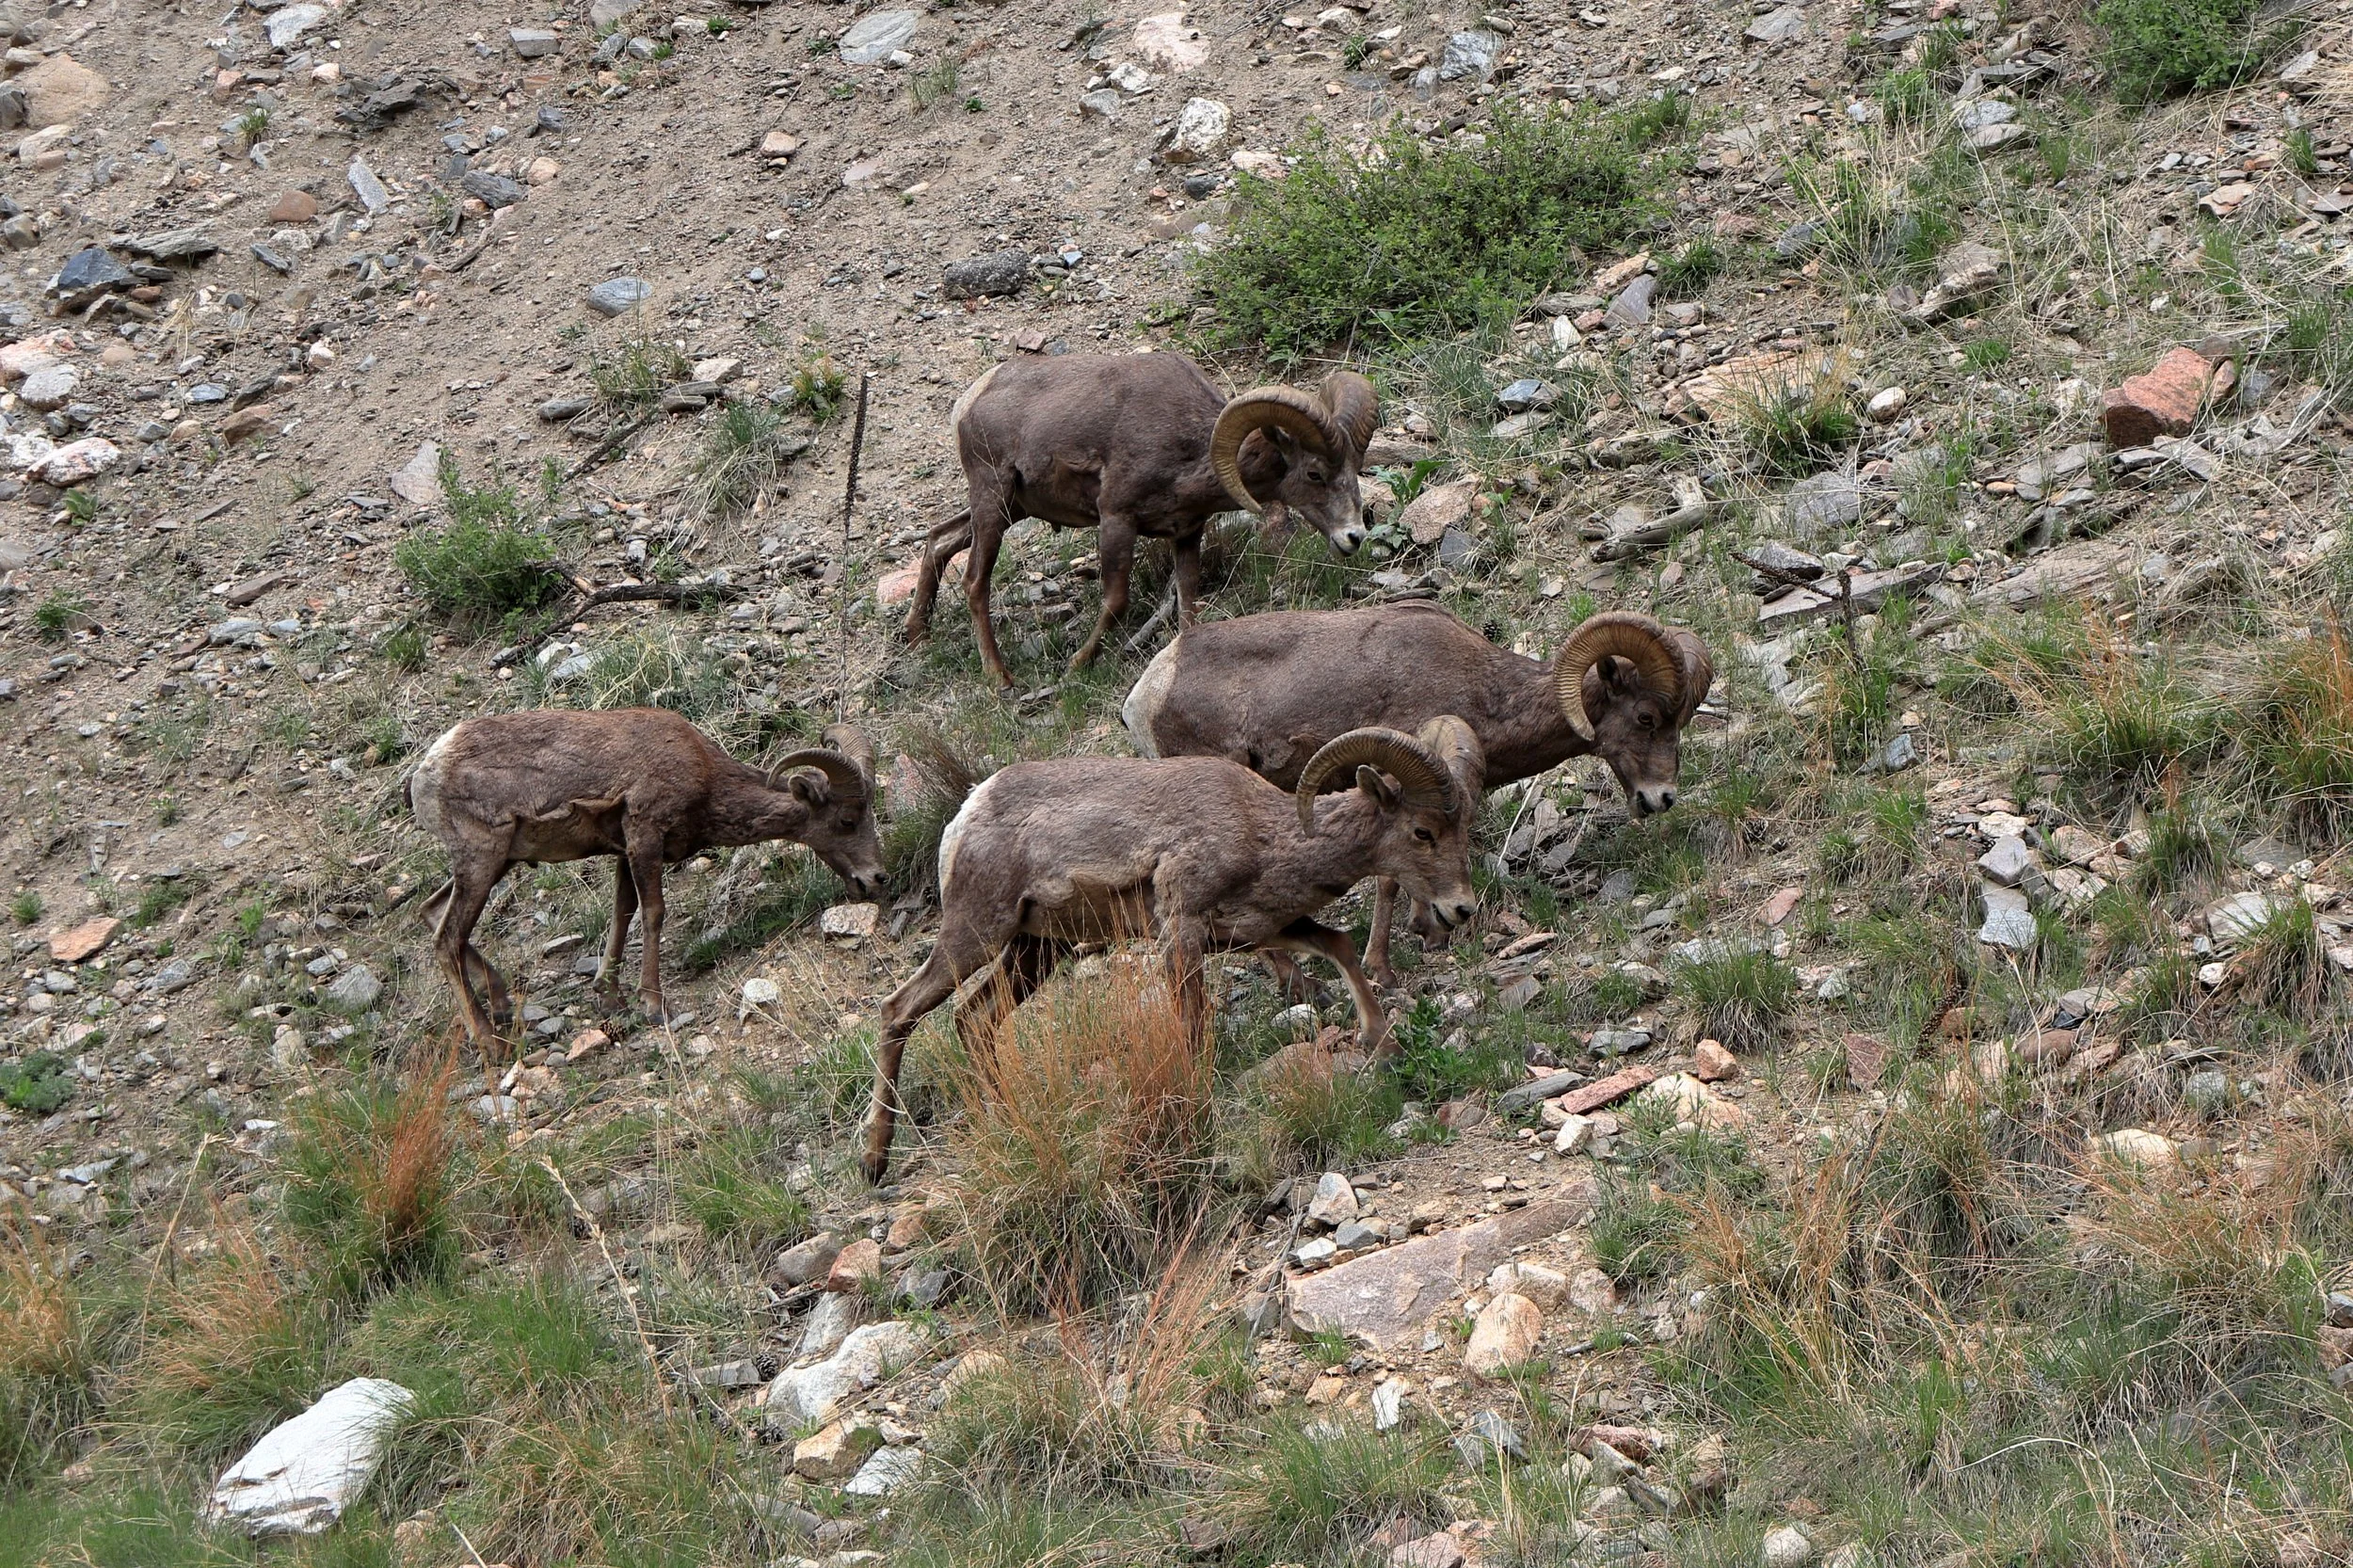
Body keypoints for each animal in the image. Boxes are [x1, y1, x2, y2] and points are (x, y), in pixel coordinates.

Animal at [407, 708, 885, 1047]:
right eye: (846, 820)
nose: (876, 879)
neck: (704, 777)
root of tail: (426, 773)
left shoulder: (624, 852)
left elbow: (623, 913)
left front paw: (610, 998)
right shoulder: (645, 835)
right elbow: (653, 913)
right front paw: (653, 1004)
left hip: (495, 863)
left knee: (430, 911)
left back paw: (503, 1001)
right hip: (482, 859)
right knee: (446, 938)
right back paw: (490, 1043)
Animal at [858, 720, 1484, 1182]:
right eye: (1423, 831)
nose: (1461, 910)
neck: (1266, 833)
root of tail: (964, 818)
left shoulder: (1259, 932)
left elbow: (1340, 945)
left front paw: (1383, 1045)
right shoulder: (1181, 933)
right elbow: (1193, 1025)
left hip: (1035, 954)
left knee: (973, 1019)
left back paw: (1005, 1117)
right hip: (977, 934)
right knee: (899, 1010)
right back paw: (875, 1160)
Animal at [902, 353, 1379, 690]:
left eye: (1356, 468)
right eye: (1314, 473)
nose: (1354, 537)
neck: (1187, 449)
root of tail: (971, 401)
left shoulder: (1186, 535)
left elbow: (1188, 603)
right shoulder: (1116, 520)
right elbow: (1116, 601)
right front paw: (1077, 666)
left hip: (1011, 509)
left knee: (939, 540)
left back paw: (916, 635)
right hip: (993, 500)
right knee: (974, 583)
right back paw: (1000, 678)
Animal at [1122, 604, 1714, 987]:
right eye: (1646, 717)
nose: (1662, 798)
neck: (1483, 689)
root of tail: (1145, 693)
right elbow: (1389, 878)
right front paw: (1391, 963)